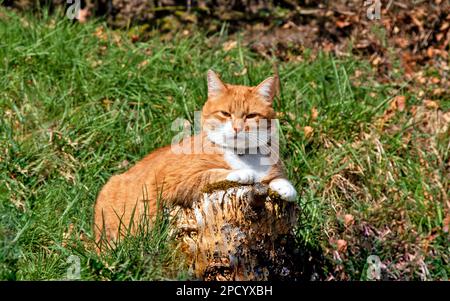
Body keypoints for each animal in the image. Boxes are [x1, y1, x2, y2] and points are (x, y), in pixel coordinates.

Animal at [93, 69, 298, 246]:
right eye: (225, 113)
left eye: (251, 115)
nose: (237, 128)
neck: (243, 155)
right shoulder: (176, 183)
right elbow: (212, 174)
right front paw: (243, 173)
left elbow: (278, 179)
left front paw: (285, 187)